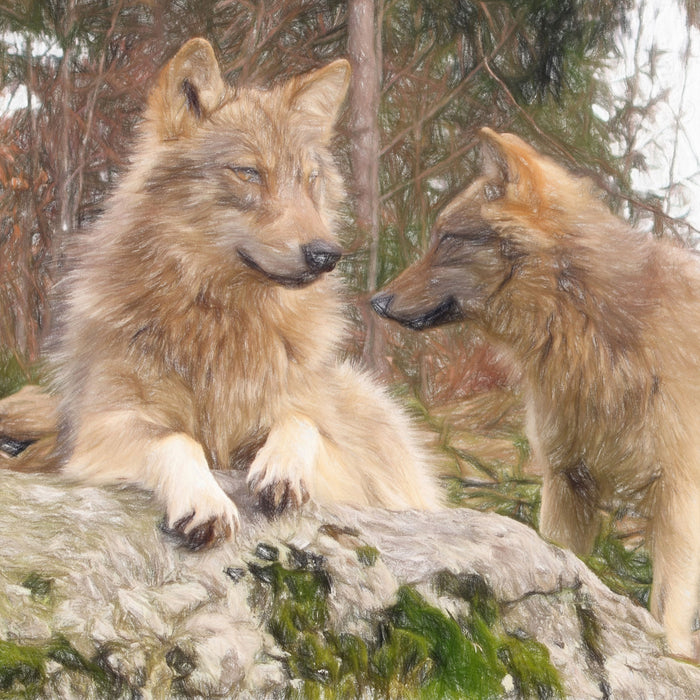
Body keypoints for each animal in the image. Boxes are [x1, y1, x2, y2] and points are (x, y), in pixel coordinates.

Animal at [0, 39, 440, 552]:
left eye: (309, 179)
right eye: (248, 172)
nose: (326, 254)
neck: (223, 319)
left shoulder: (351, 470)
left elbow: (301, 423)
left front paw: (281, 471)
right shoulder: (100, 430)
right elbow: (177, 440)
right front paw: (205, 501)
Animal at [374, 129, 700, 660]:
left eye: (447, 238)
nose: (376, 301)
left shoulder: (677, 494)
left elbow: (668, 599)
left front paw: (670, 653)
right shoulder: (569, 479)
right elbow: (567, 559)